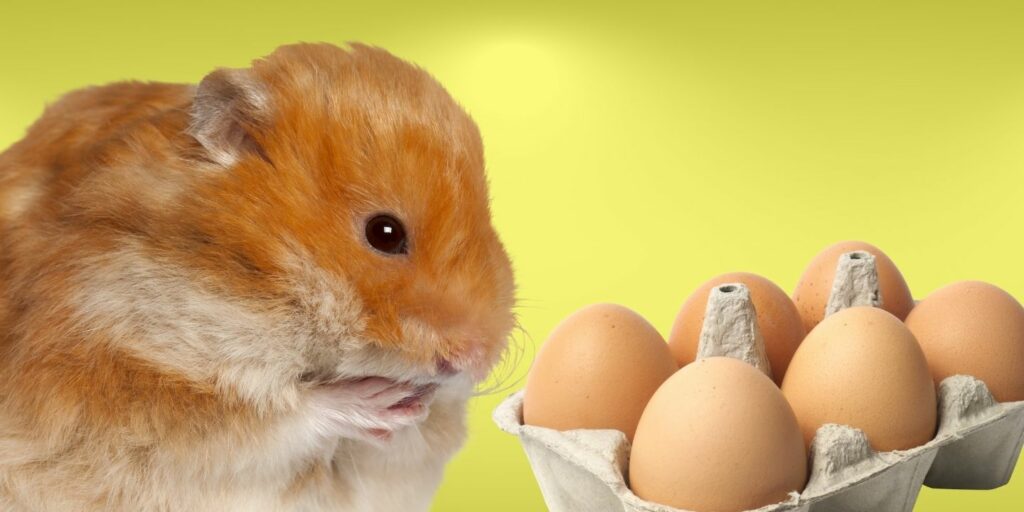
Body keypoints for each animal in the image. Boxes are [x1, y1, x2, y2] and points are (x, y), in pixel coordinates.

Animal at [0, 42, 516, 511]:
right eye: (384, 233)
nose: (474, 358)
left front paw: (414, 407)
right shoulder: (114, 370)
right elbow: (271, 418)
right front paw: (381, 400)